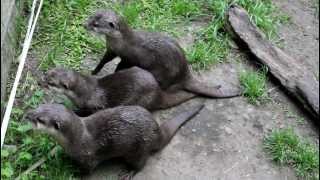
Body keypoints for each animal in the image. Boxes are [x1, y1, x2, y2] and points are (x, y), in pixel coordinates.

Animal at [25, 103, 205, 178]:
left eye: (40, 119)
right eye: (39, 107)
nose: (27, 115)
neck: (76, 139)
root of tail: (157, 131)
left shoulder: (88, 158)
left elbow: (87, 171)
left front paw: (75, 173)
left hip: (139, 148)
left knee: (141, 164)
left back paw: (129, 172)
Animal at [44, 66, 195, 114]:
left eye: (50, 83)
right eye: (48, 72)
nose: (41, 81)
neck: (85, 92)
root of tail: (158, 93)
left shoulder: (96, 105)